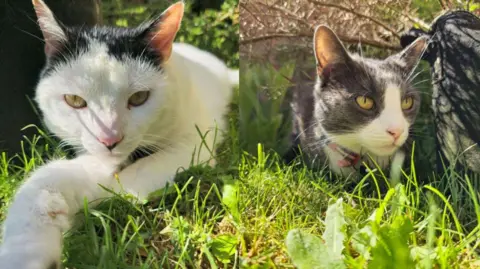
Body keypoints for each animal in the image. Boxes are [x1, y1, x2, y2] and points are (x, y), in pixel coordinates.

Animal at [0, 0, 237, 268]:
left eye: (139, 97)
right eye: (74, 100)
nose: (110, 139)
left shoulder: (196, 141)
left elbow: (135, 178)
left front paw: (108, 200)